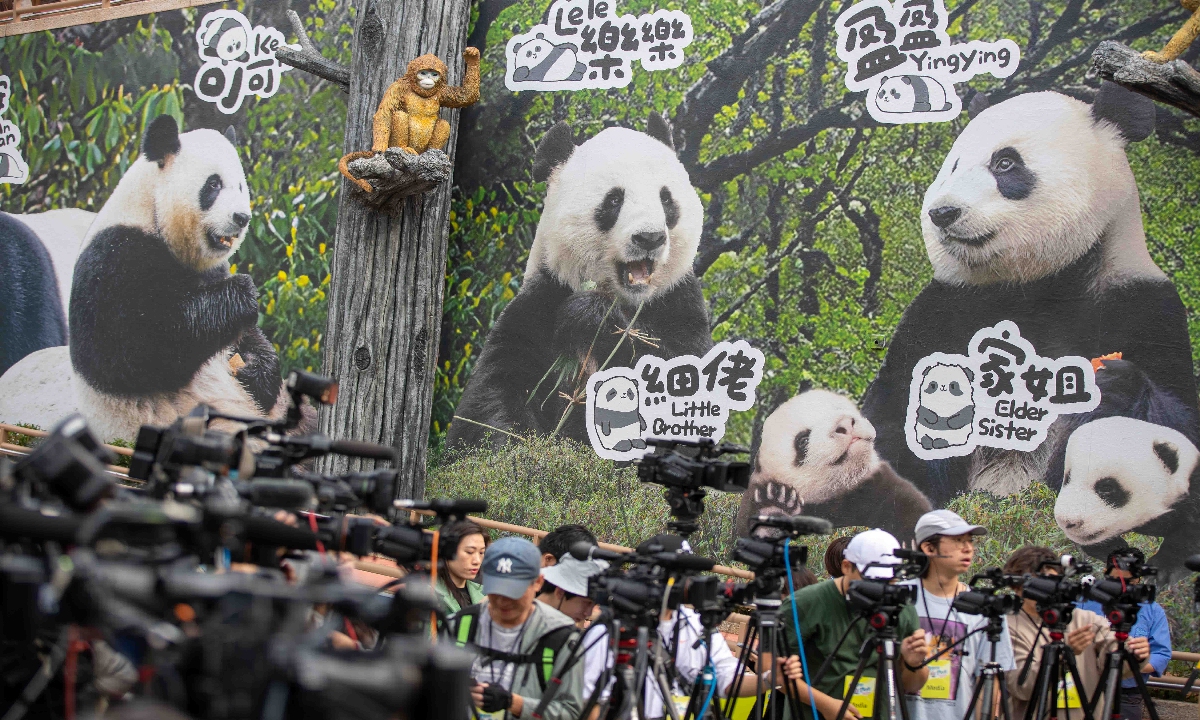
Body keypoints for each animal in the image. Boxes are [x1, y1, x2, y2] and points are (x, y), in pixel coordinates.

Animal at [448, 112, 710, 446]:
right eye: (614, 200)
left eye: (666, 199)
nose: (650, 237)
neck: (627, 299)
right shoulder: (543, 297)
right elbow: (493, 393)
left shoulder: (679, 301)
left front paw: (592, 315)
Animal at [734, 388, 931, 540]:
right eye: (803, 440)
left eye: (838, 408)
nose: (845, 424)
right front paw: (775, 509)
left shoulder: (877, 485)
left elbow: (907, 504)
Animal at [859, 80, 1195, 506]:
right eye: (953, 167)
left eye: (1005, 163)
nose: (943, 213)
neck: (1038, 285)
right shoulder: (945, 307)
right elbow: (891, 421)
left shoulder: (1142, 305)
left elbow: (1181, 431)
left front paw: (1112, 388)